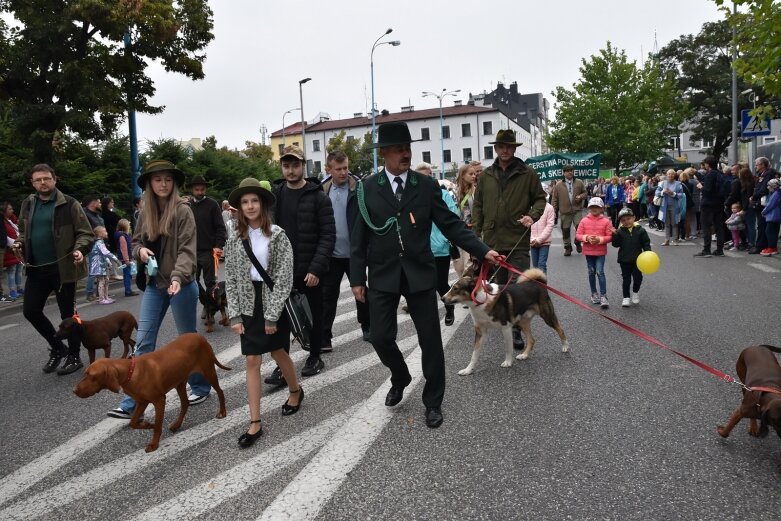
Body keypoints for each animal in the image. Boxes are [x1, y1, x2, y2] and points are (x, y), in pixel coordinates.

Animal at [72, 334, 232, 450]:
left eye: (91, 376)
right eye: (85, 374)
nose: (74, 390)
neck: (130, 372)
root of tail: (200, 336)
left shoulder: (159, 400)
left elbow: (158, 424)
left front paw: (154, 443)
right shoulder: (142, 402)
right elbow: (133, 422)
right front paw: (148, 425)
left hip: (208, 371)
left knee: (220, 391)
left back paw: (222, 412)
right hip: (180, 382)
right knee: (185, 403)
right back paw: (177, 424)